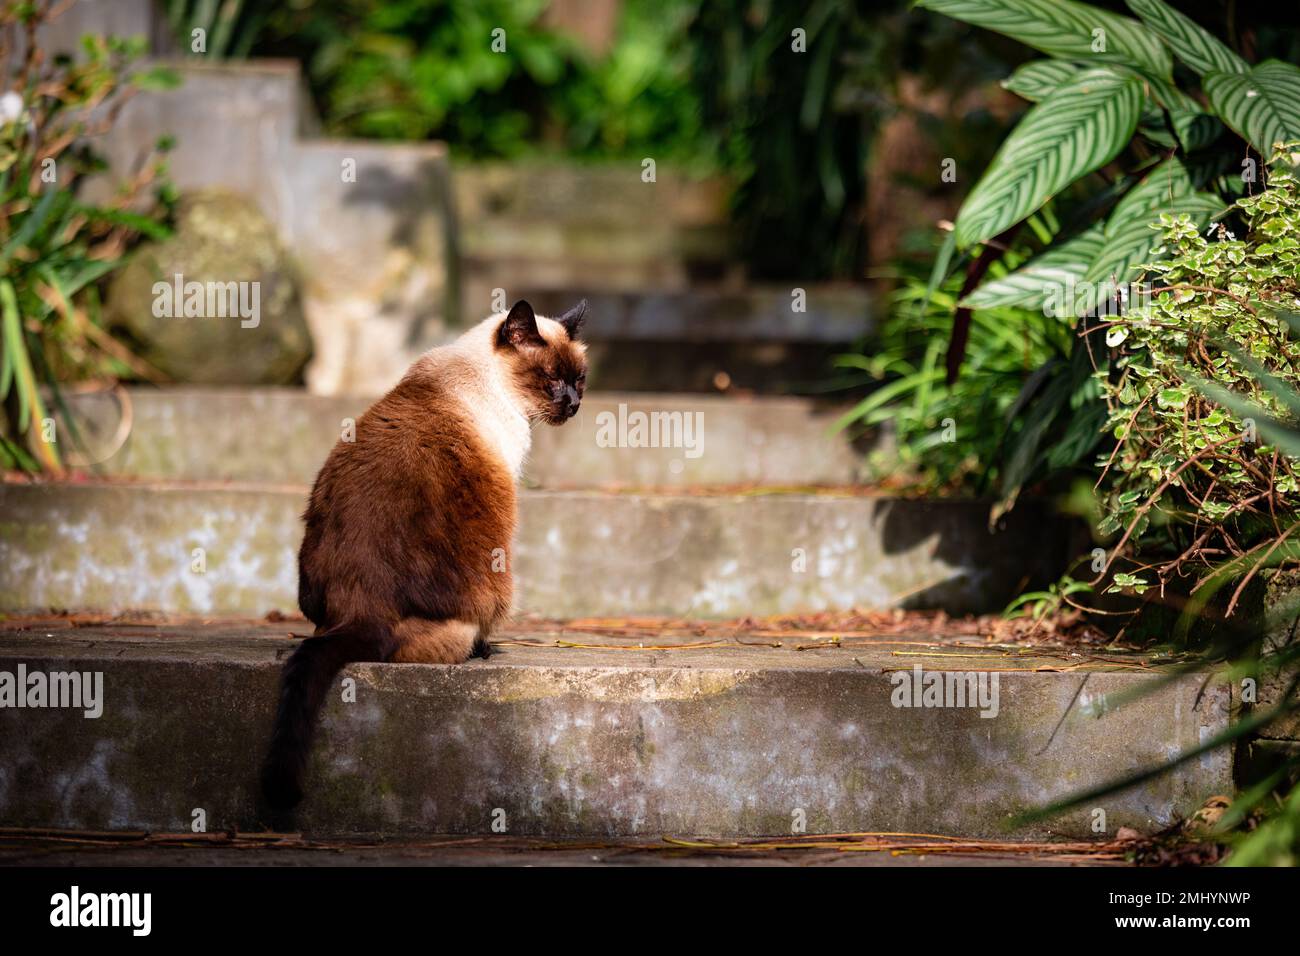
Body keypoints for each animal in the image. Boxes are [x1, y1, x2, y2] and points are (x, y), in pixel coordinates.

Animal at [261, 299, 587, 806]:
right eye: (552, 379)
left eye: (580, 379)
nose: (573, 403)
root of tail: (359, 612)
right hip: (493, 587)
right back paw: (483, 649)